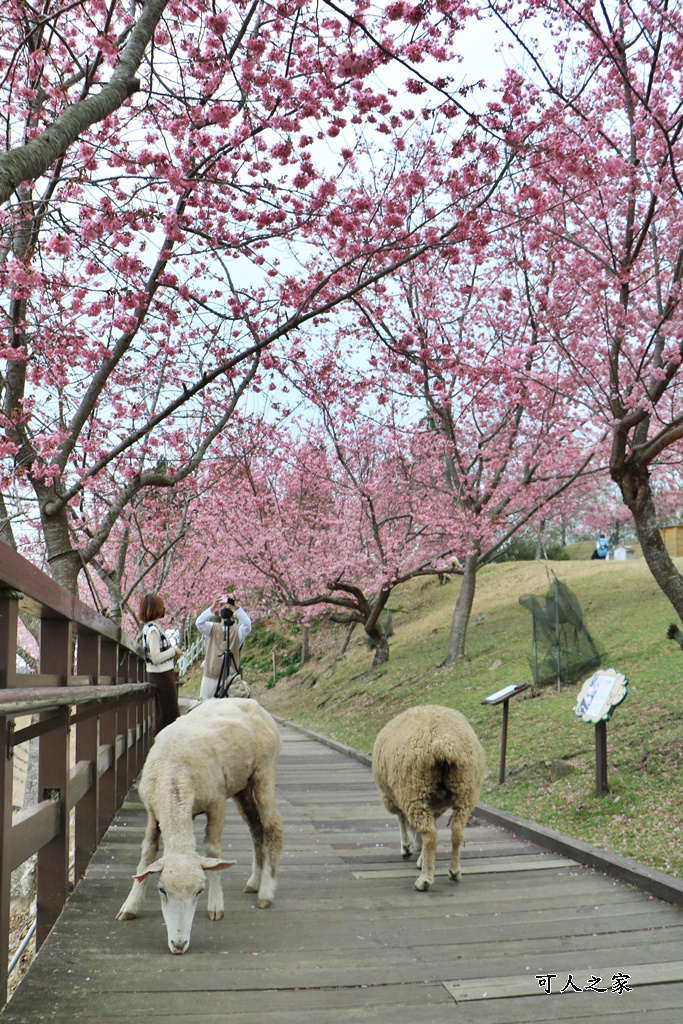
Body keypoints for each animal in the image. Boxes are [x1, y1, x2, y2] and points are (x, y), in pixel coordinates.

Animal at [116, 696, 282, 950]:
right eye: (162, 890)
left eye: (199, 891)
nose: (178, 945)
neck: (174, 777)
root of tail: (251, 702)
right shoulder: (153, 811)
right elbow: (147, 852)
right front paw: (130, 905)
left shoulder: (216, 803)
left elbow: (213, 850)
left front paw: (216, 905)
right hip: (242, 785)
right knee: (256, 827)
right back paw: (255, 881)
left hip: (264, 770)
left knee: (272, 827)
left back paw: (266, 892)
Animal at [374, 704, 485, 888]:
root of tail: (443, 743)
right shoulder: (435, 804)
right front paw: (421, 855)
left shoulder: (391, 797)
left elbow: (402, 820)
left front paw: (407, 847)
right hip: (466, 788)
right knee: (457, 831)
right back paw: (454, 871)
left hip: (413, 789)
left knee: (430, 834)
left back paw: (424, 880)